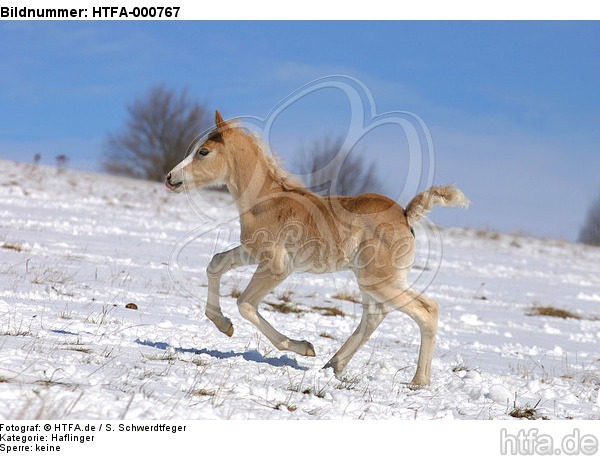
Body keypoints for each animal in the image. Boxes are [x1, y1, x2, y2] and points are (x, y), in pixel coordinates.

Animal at [165, 110, 468, 384]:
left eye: (203, 151)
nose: (170, 178)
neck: (265, 200)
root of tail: (406, 215)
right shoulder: (251, 252)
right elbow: (216, 264)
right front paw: (223, 325)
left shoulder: (277, 267)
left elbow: (246, 304)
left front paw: (303, 347)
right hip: (373, 281)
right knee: (375, 316)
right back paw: (334, 364)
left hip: (379, 280)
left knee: (427, 311)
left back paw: (419, 381)